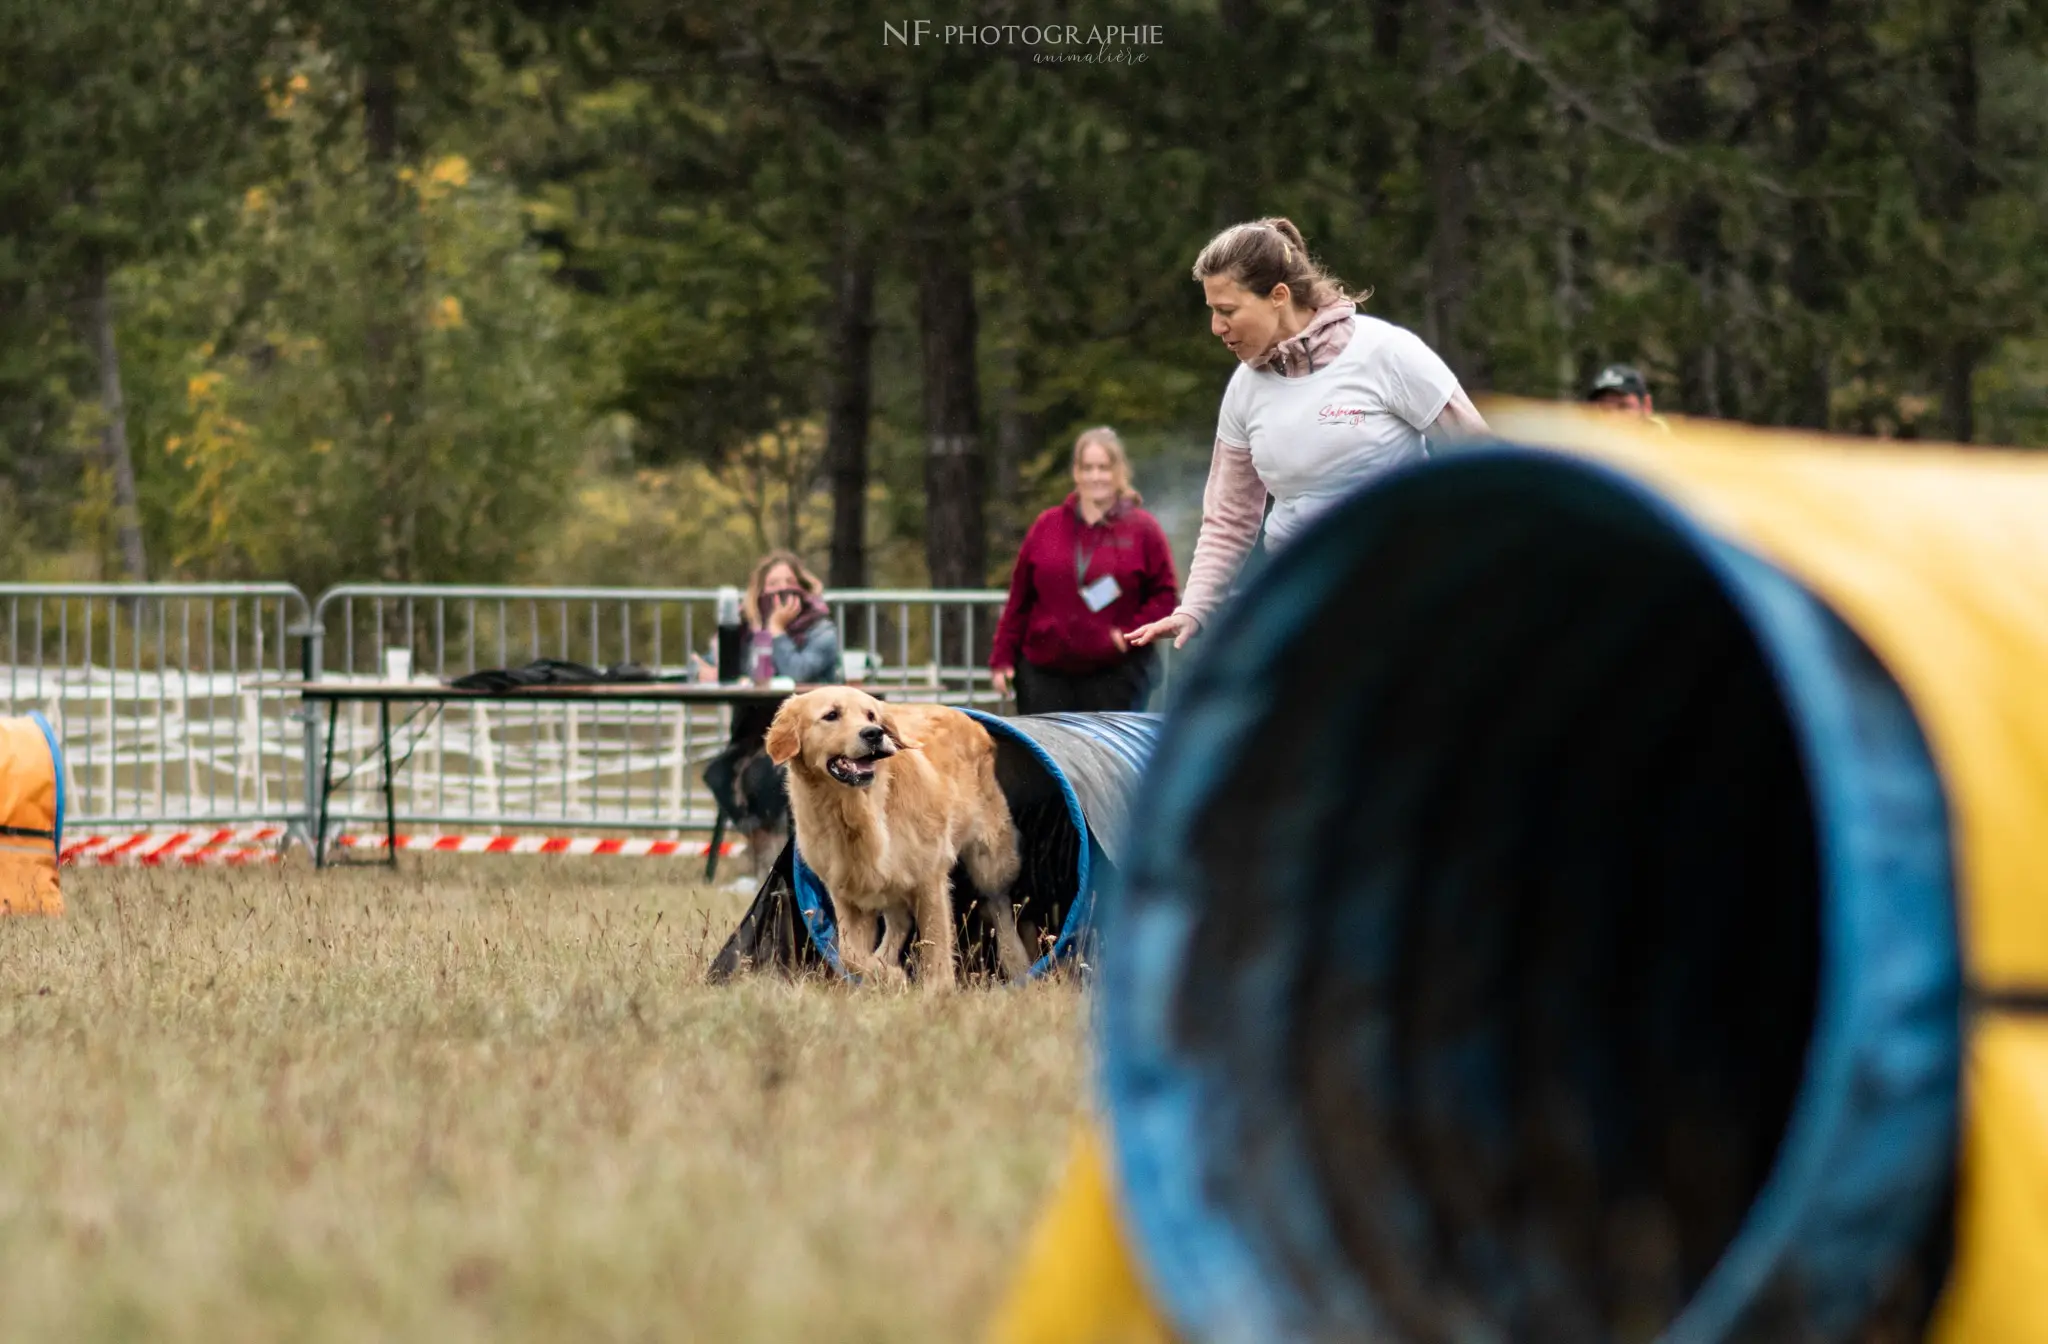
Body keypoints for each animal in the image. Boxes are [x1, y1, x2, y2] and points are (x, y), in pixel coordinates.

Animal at [765, 692, 1032, 987]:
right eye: (831, 715)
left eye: (871, 715)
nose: (874, 733)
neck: (856, 810)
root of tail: (972, 723)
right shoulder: (847, 893)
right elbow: (850, 955)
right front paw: (889, 974)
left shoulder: (929, 879)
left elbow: (935, 943)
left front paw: (938, 989)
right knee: (899, 922)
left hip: (990, 860)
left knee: (999, 906)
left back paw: (1018, 964)